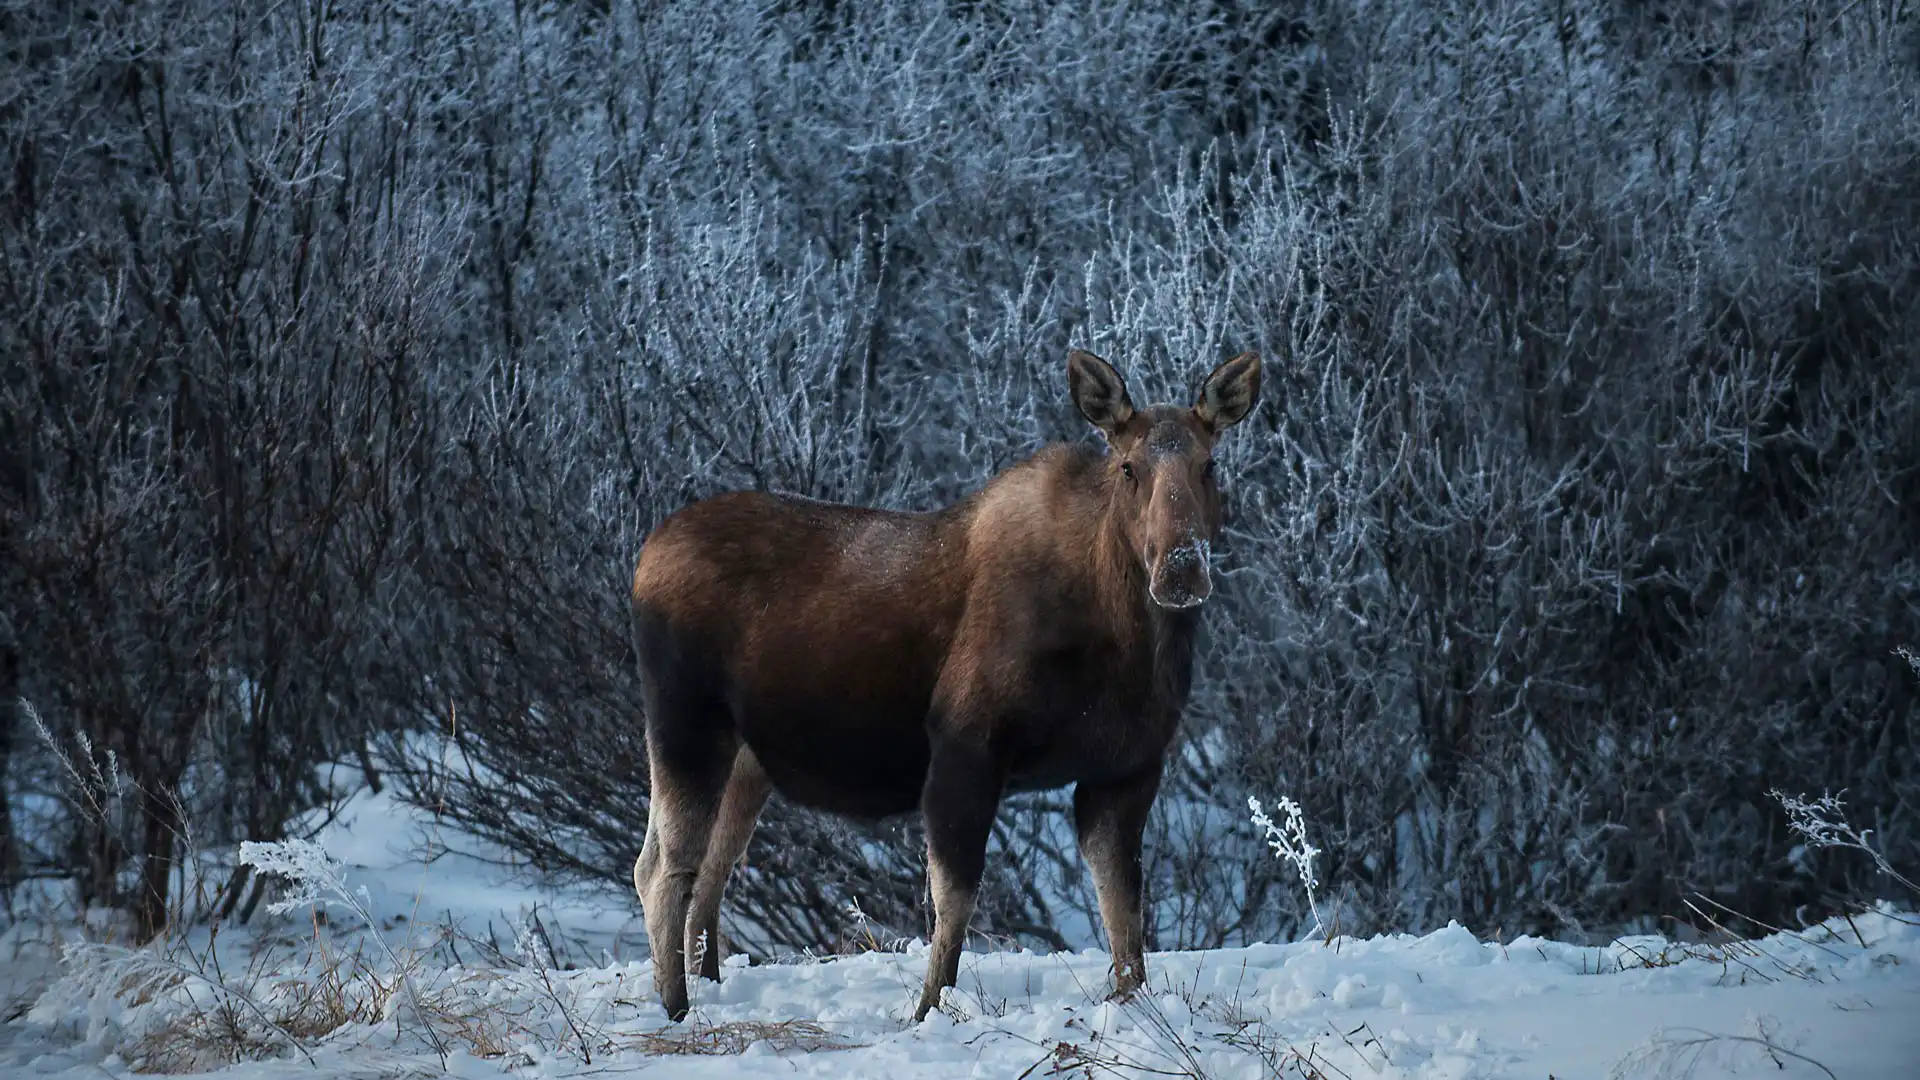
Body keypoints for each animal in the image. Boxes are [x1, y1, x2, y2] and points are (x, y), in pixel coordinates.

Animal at [625, 345, 1259, 1014]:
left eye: (1210, 464)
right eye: (1129, 467)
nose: (1181, 568)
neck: (1128, 642)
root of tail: (643, 558)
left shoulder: (1125, 769)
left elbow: (1124, 911)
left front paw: (1132, 1000)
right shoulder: (966, 746)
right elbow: (954, 901)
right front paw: (929, 1008)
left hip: (746, 758)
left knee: (707, 867)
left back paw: (708, 985)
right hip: (684, 721)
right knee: (664, 867)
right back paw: (675, 1008)